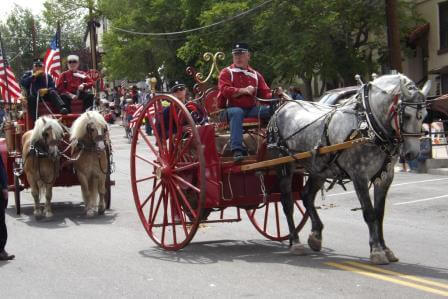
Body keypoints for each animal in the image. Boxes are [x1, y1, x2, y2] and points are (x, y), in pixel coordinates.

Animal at [268, 74, 432, 264]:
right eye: (406, 115)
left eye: (424, 115)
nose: (412, 153)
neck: (368, 125)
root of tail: (282, 107)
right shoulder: (359, 176)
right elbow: (369, 213)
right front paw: (376, 251)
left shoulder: (385, 177)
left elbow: (379, 213)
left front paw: (385, 248)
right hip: (283, 165)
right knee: (287, 202)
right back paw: (295, 242)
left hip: (319, 168)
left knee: (306, 195)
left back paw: (315, 235)